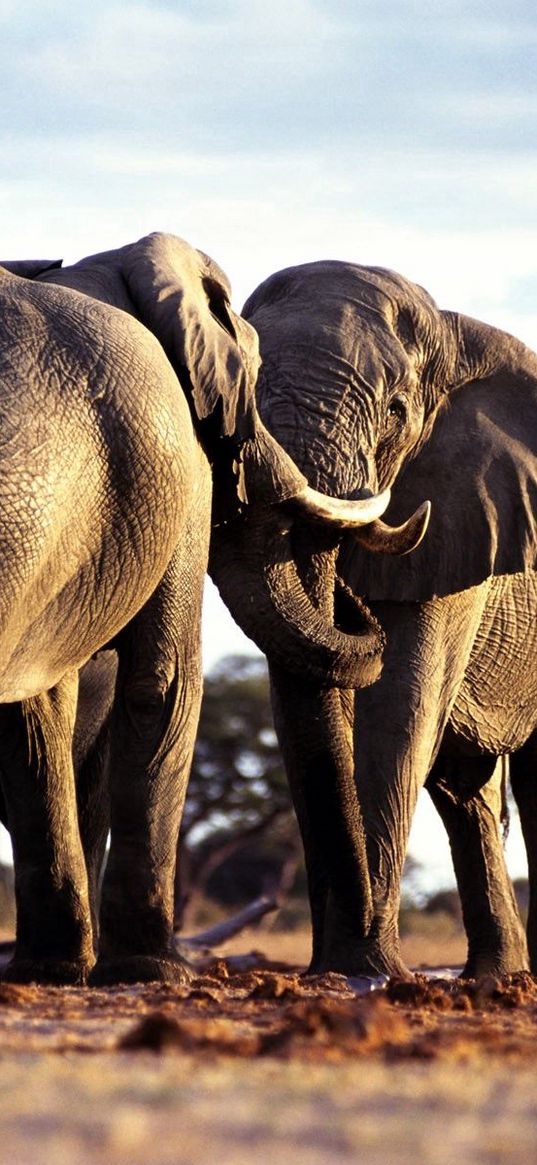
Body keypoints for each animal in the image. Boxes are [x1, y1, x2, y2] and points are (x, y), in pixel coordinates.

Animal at [0, 234, 400, 983]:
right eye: (256, 374)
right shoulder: (181, 466)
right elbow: (165, 683)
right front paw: (151, 970)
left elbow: (37, 714)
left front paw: (49, 970)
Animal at [232, 257, 535, 983]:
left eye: (396, 411)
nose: (349, 601)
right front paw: (342, 969)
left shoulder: (461, 512)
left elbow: (400, 702)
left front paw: (365, 969)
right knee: (467, 790)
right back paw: (493, 977)